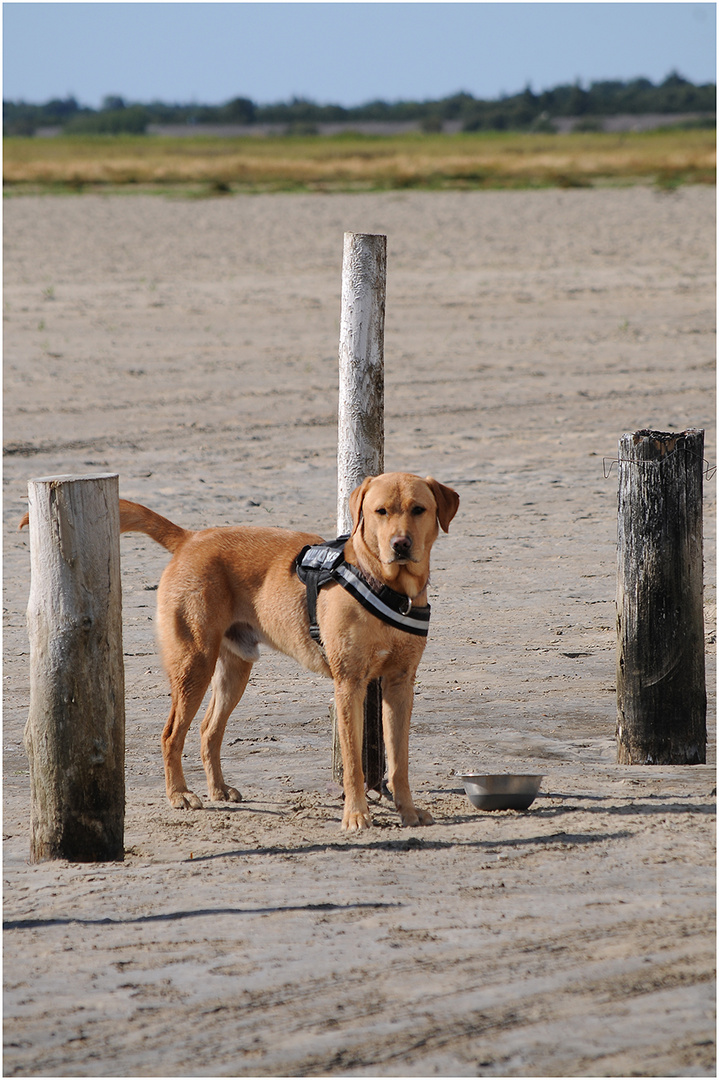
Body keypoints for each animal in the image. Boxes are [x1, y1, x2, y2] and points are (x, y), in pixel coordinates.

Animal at [26, 468, 459, 829]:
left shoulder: (400, 684)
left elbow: (399, 761)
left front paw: (407, 810)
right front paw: (356, 815)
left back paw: (217, 789)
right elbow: (354, 763)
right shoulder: (349, 684)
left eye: (418, 509)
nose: (400, 545)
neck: (390, 589)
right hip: (194, 663)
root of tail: (189, 538)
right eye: (380, 511)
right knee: (171, 734)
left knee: (208, 730)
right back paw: (180, 794)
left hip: (234, 669)